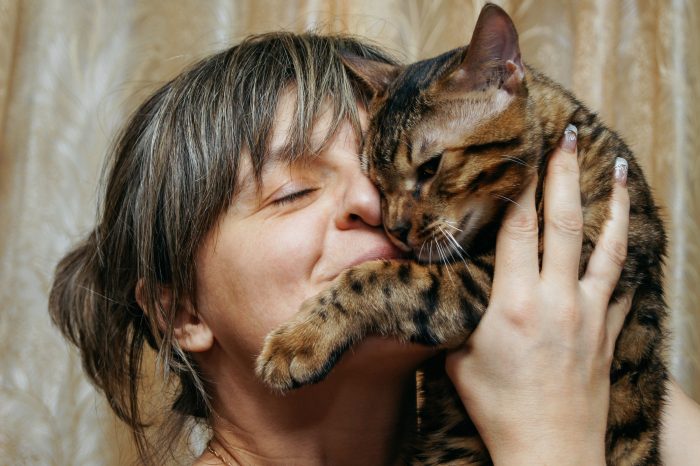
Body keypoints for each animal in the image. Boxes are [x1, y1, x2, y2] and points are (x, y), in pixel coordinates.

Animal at [256, 4, 668, 466]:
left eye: (430, 168)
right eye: (377, 183)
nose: (395, 229)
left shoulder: (484, 281)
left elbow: (378, 278)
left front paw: (296, 342)